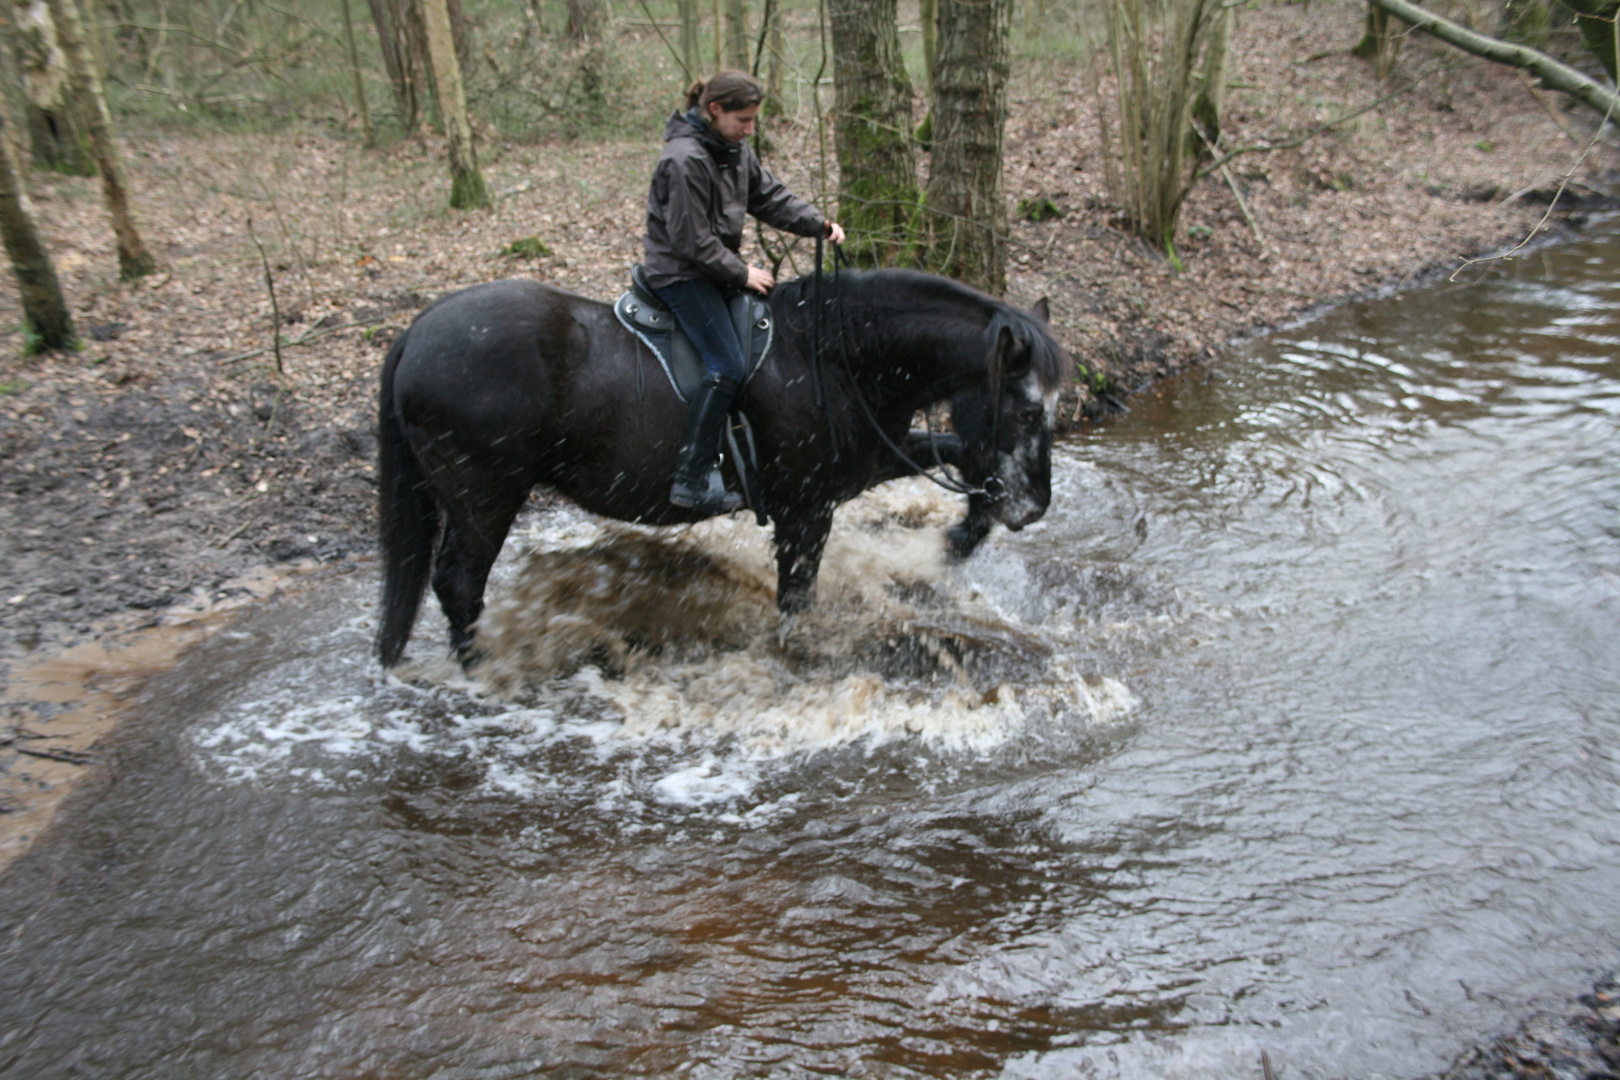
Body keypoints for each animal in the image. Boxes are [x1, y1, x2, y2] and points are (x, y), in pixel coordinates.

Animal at [372, 268, 1069, 667]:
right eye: (1028, 410)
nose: (1035, 507)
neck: (829, 354)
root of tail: (418, 332)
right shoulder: (805, 510)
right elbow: (796, 599)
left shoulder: (864, 464)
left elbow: (958, 453)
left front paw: (961, 536)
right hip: (484, 497)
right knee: (458, 583)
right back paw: (481, 667)